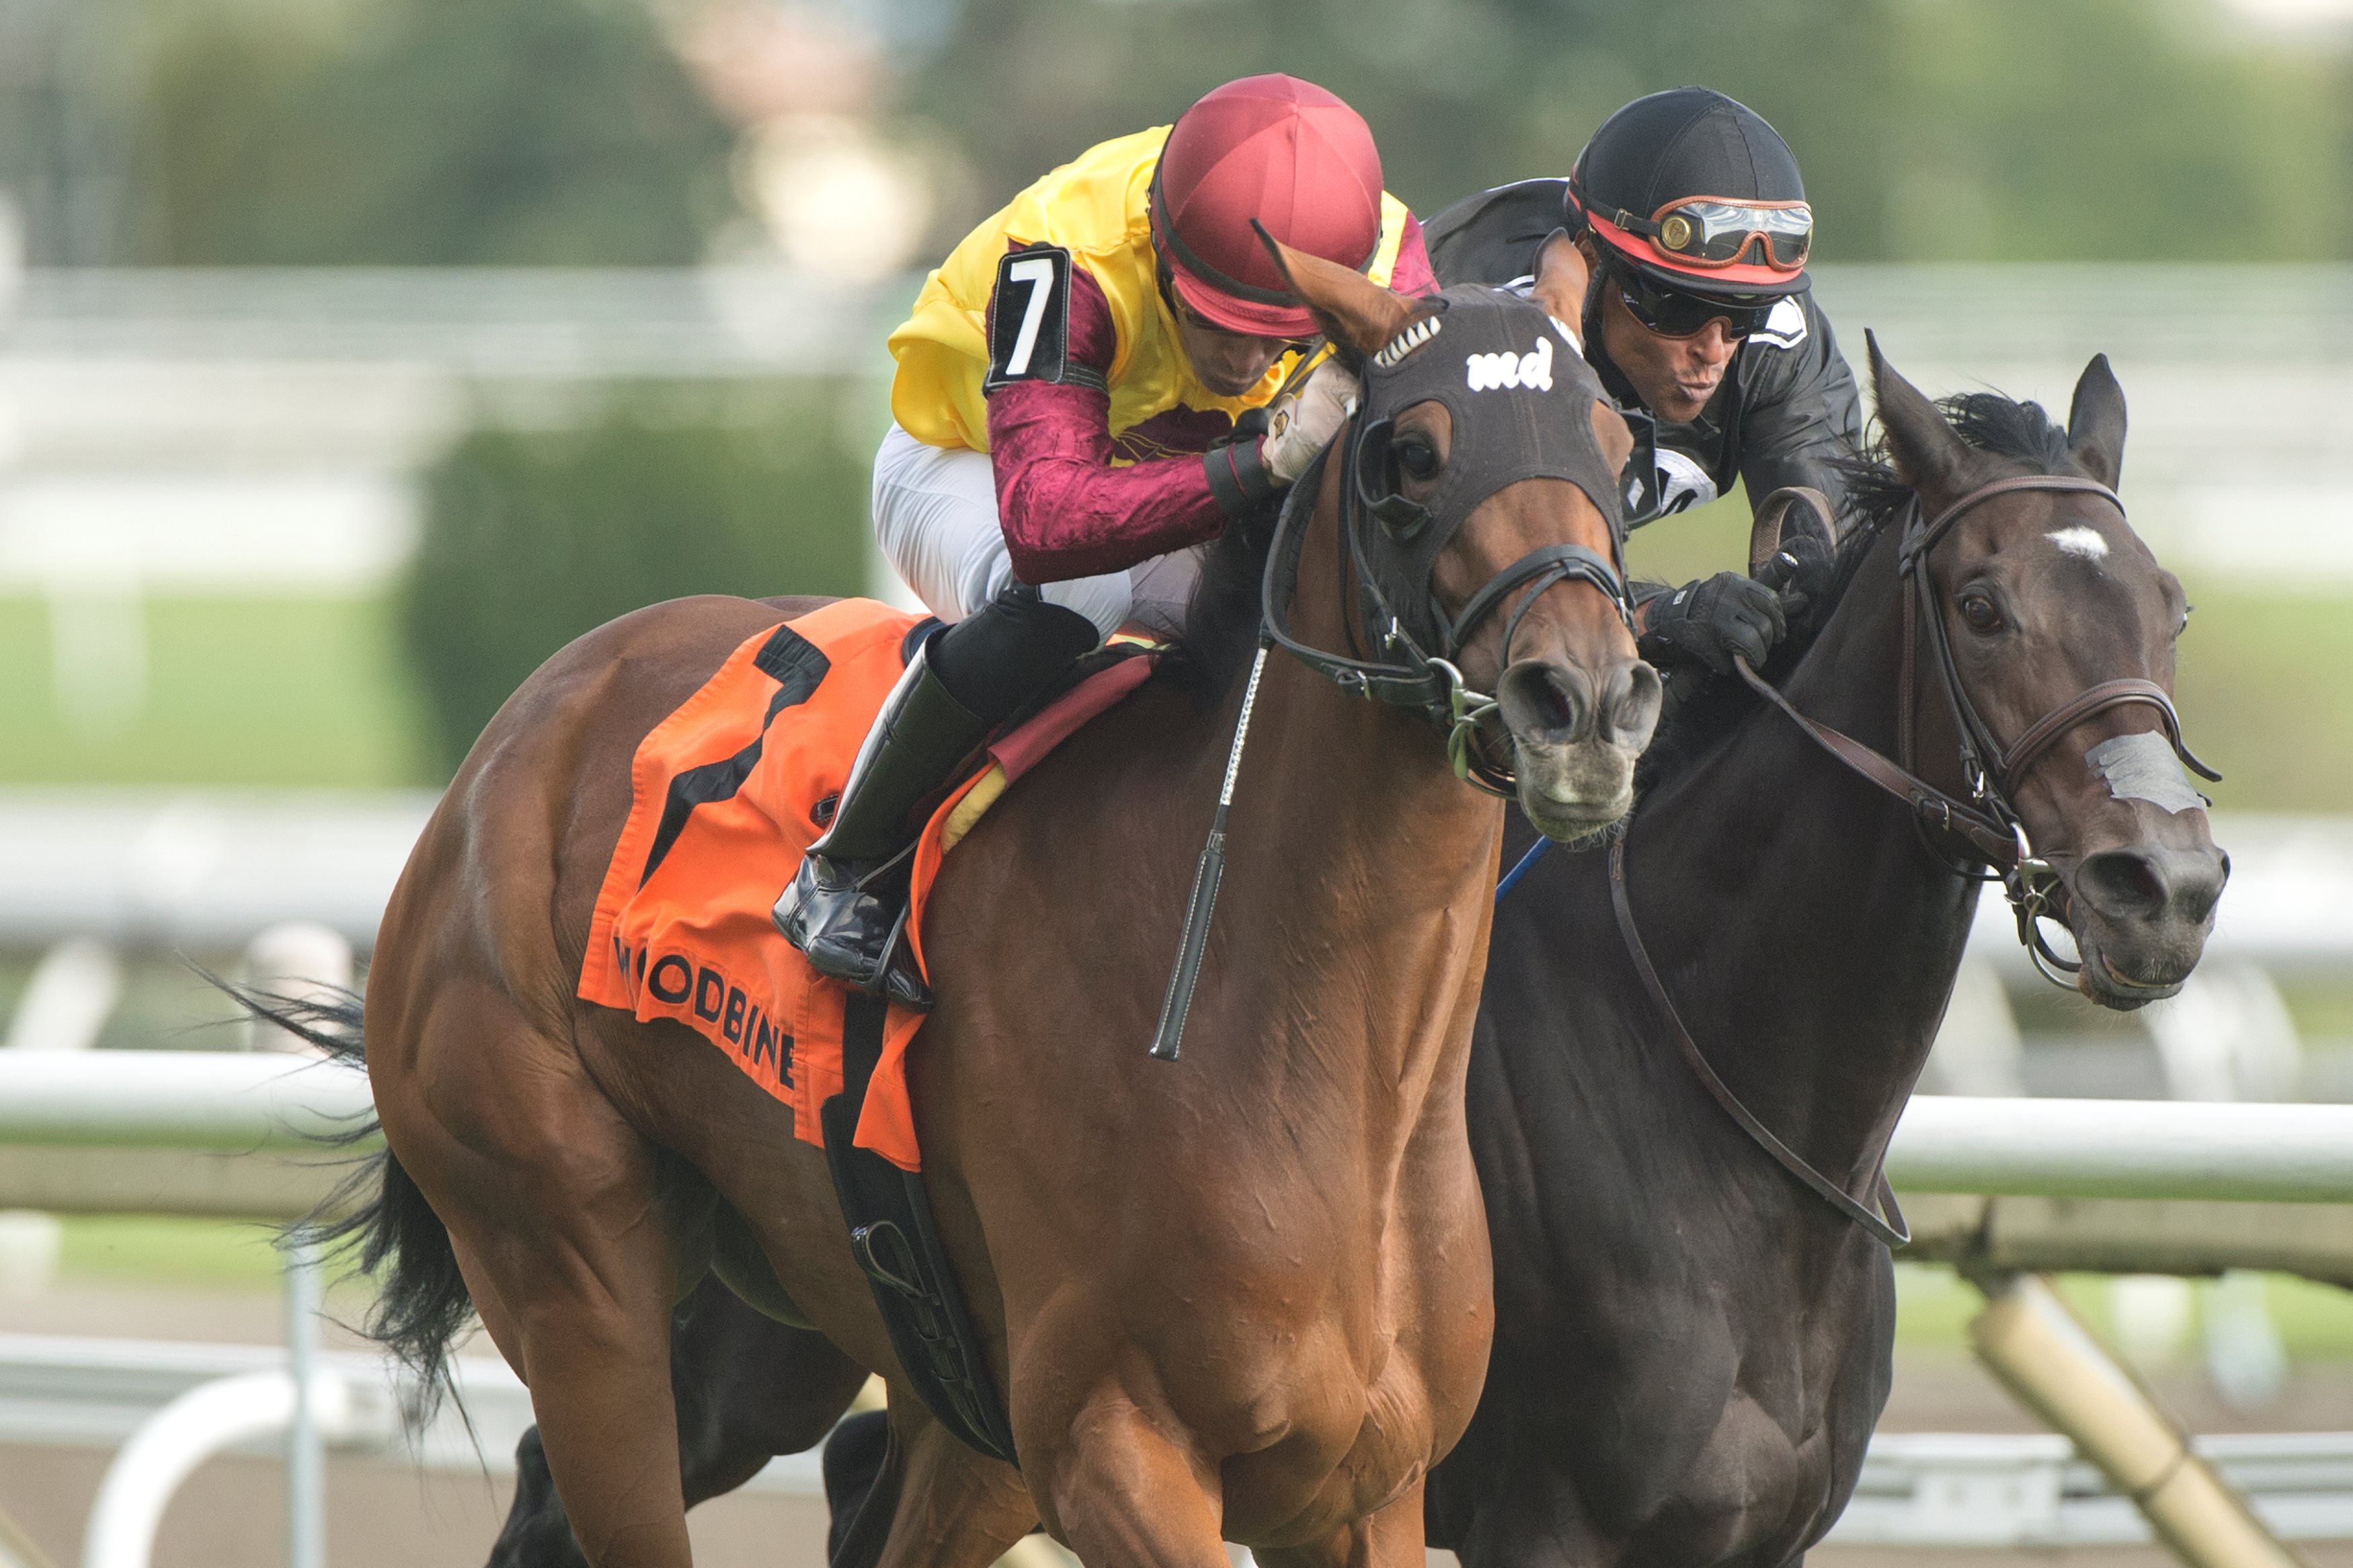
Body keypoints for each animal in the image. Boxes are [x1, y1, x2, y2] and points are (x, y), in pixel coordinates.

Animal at [336, 233, 1657, 1568]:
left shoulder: (1363, 1486)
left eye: (1616, 446)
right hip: (574, 1276)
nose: (1586, 704)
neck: (1308, 1054)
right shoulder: (1109, 1442)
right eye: (1412, 454)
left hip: (899, 1372)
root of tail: (516, 734)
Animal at [473, 341, 2221, 1568]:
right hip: (733, 1331)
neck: (1719, 1109)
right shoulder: (1535, 1520)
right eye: (1984, 602)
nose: (2168, 881)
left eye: (2170, 606)